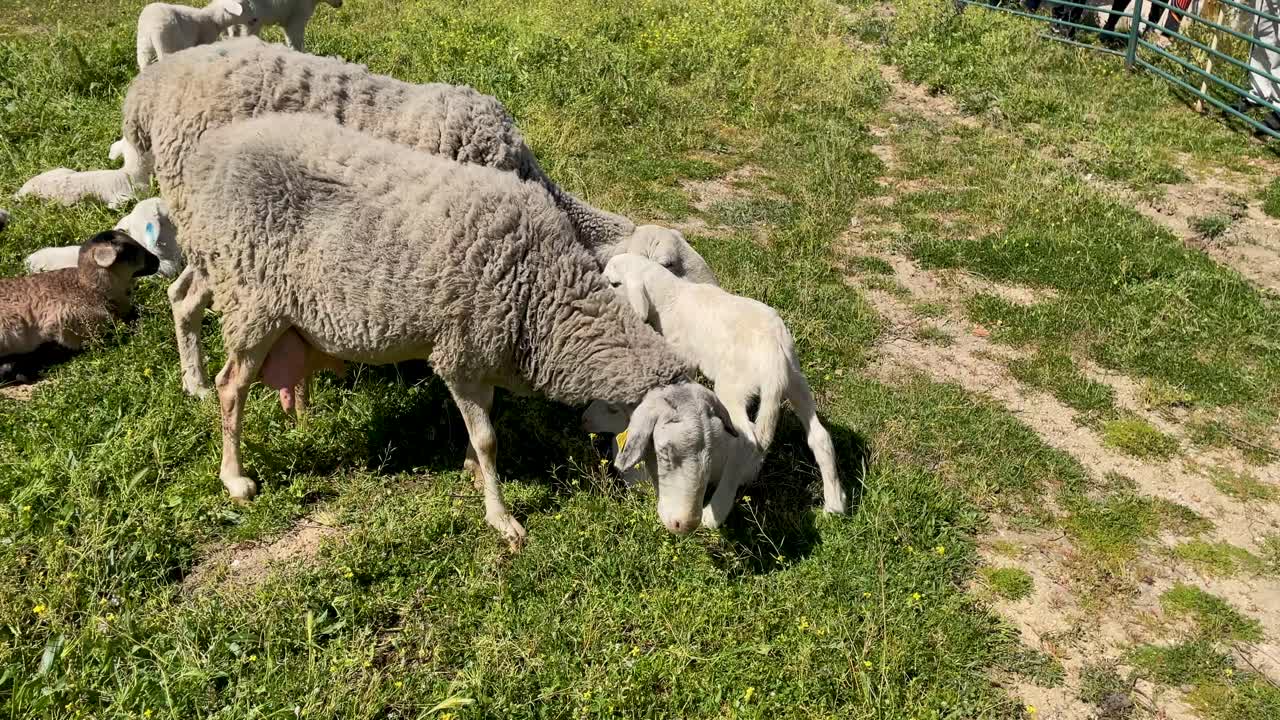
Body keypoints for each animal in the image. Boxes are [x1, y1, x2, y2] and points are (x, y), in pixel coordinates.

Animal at [165, 113, 737, 545]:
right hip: (251, 296)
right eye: (667, 452)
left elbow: (481, 427)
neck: (545, 288)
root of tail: (210, 153)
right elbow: (487, 438)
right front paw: (502, 517)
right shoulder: (461, 353)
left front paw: (470, 471)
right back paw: (234, 475)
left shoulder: (489, 353)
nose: (686, 526)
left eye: (713, 459)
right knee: (231, 386)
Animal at [601, 253, 846, 525]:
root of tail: (774, 354)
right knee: (819, 436)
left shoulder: (684, 357)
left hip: (733, 387)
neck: (670, 296)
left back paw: (715, 511)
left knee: (747, 441)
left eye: (614, 283)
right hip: (796, 380)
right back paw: (835, 504)